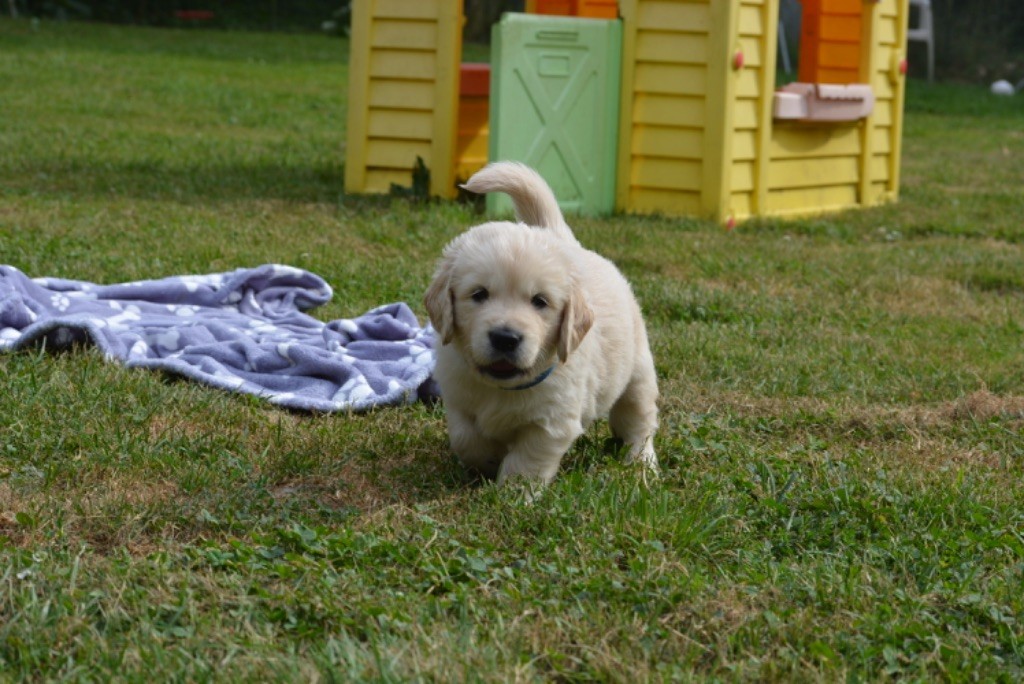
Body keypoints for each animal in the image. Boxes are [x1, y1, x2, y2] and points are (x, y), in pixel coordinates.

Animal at [425, 160, 659, 485]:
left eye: (540, 301)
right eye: (479, 294)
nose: (505, 338)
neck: (504, 387)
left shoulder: (552, 421)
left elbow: (526, 462)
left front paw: (512, 491)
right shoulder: (458, 397)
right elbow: (467, 438)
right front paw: (486, 462)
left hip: (637, 375)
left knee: (639, 422)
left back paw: (642, 464)